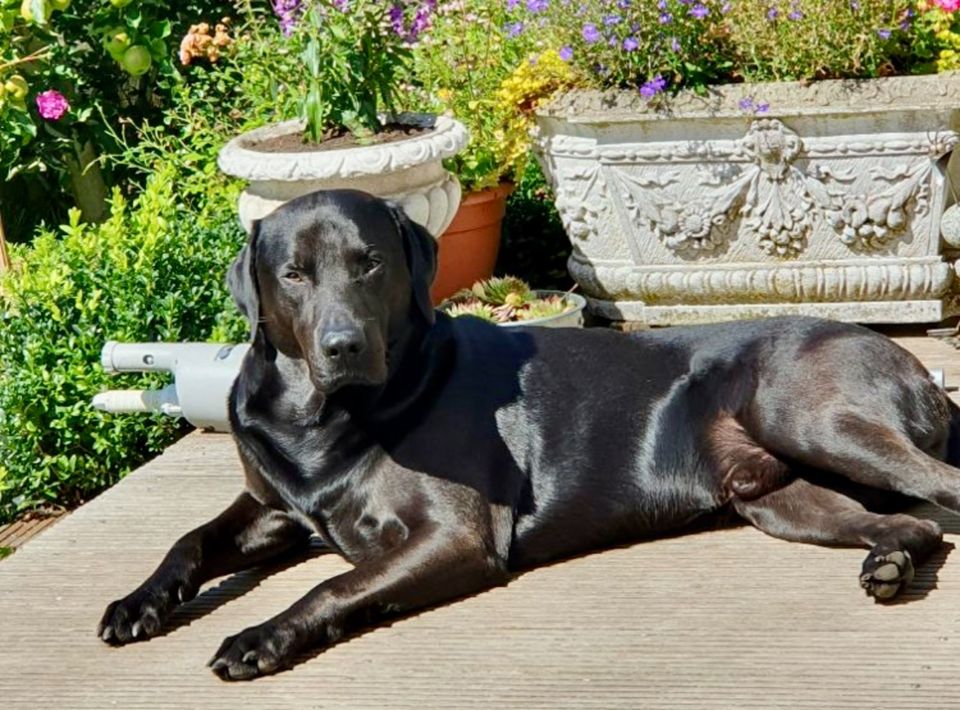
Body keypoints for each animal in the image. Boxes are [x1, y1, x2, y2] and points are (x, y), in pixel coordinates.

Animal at [97, 192, 960, 680]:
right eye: (293, 274)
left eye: (370, 262)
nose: (343, 346)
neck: (321, 417)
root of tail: (909, 356)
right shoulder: (272, 506)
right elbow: (189, 539)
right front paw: (138, 604)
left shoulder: (455, 534)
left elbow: (333, 585)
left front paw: (260, 637)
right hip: (775, 498)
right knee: (911, 524)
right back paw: (889, 563)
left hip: (806, 417)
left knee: (940, 490)